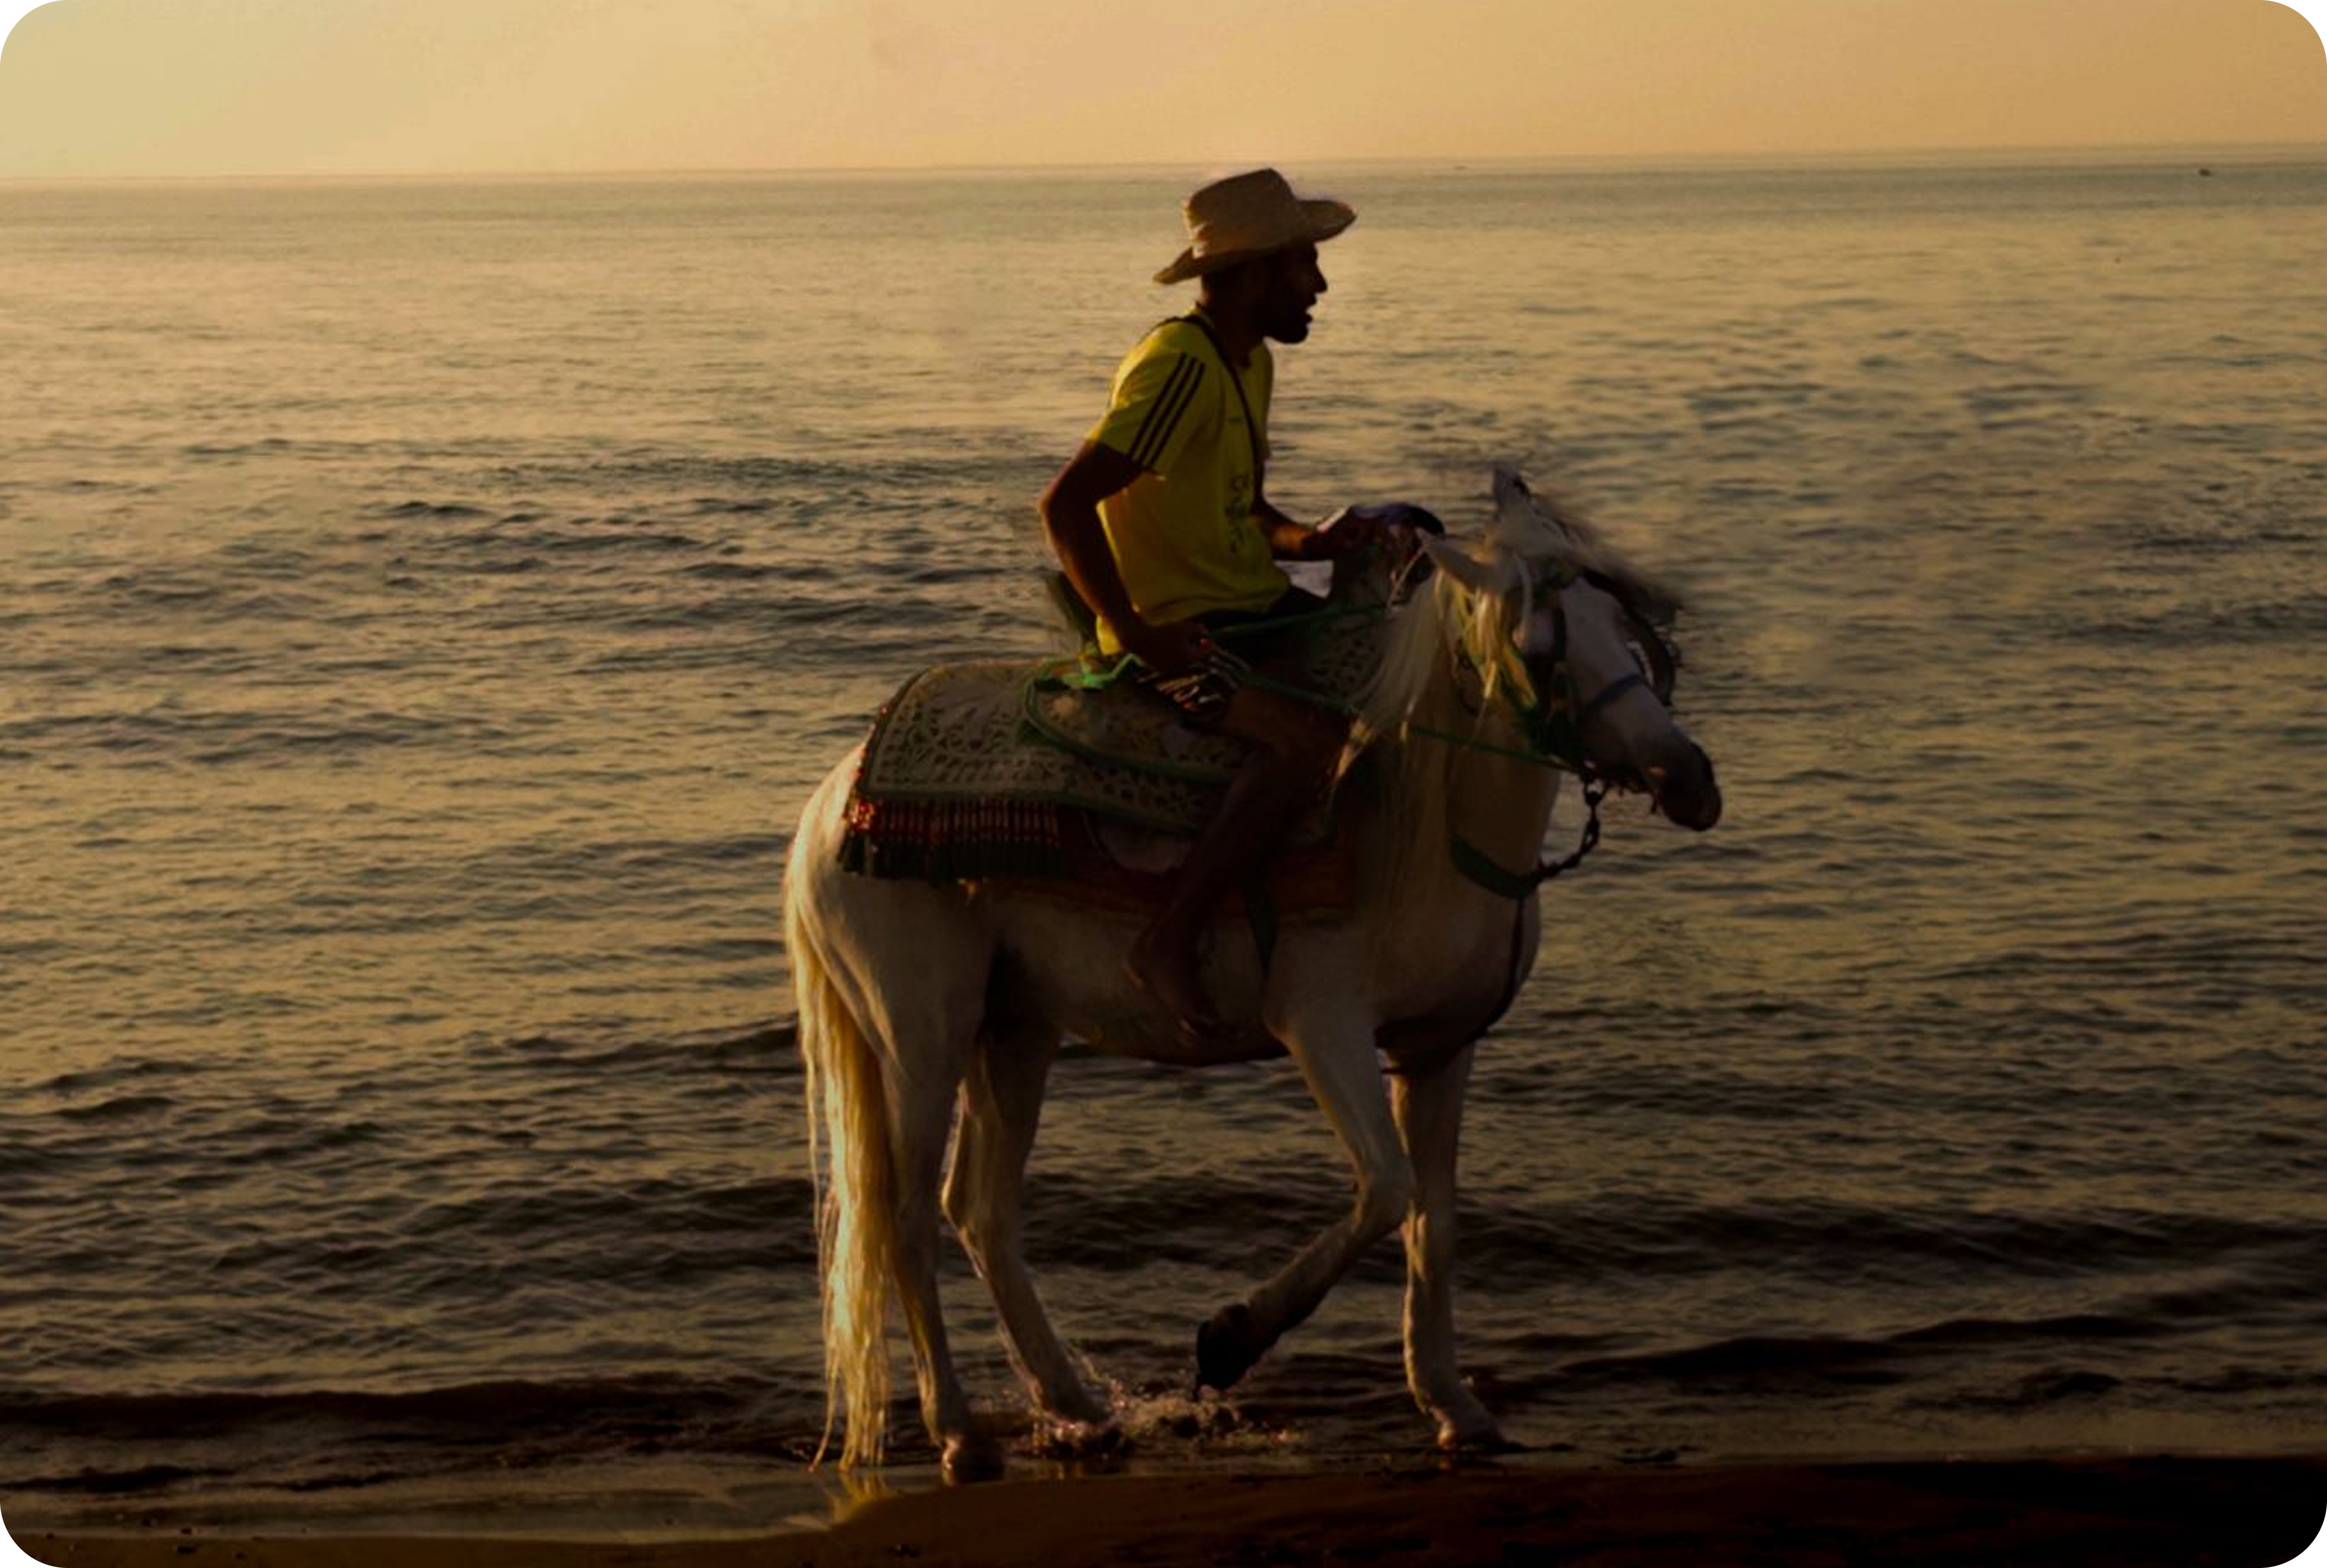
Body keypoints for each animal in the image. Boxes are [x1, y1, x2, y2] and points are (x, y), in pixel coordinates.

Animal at [783, 468, 1721, 1474]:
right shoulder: (1323, 1025)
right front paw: (1229, 1338)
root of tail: (831, 799)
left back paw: (1076, 1402)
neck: (1422, 820)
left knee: (980, 1210)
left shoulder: (1439, 1044)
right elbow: (1386, 1189)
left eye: (1619, 623)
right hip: (921, 1029)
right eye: (1540, 645)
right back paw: (958, 1430)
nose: (1689, 779)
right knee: (907, 1213)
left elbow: (1432, 1217)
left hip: (1015, 1024)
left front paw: (1455, 1407)